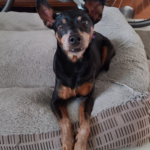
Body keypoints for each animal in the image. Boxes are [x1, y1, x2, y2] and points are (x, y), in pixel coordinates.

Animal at [36, 0, 115, 149]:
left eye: (84, 22)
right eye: (60, 26)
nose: (74, 38)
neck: (74, 64)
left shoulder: (87, 98)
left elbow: (85, 124)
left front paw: (79, 144)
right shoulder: (55, 100)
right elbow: (65, 122)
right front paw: (67, 143)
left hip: (107, 47)